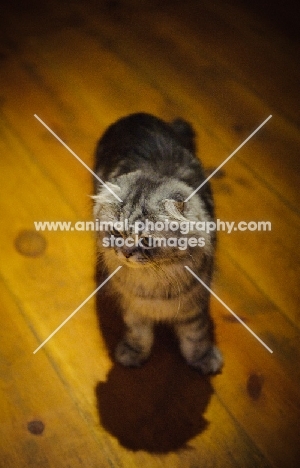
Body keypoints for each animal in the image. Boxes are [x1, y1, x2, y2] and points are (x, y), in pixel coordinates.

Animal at [93, 112, 223, 372]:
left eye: (146, 240)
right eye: (117, 232)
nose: (125, 253)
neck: (153, 282)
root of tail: (136, 115)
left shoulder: (195, 305)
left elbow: (196, 336)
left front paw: (203, 359)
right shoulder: (133, 306)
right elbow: (138, 334)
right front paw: (133, 354)